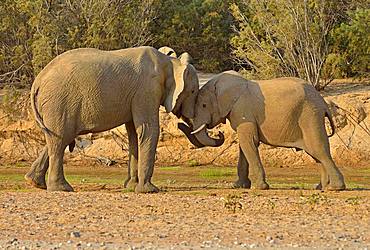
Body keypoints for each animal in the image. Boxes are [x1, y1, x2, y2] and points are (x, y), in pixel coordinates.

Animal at [25, 46, 199, 192]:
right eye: (192, 91)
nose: (182, 122)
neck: (168, 61)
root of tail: (37, 81)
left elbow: (134, 134)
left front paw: (131, 187)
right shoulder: (147, 89)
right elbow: (147, 130)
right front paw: (149, 190)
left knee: (58, 138)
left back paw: (35, 183)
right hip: (59, 102)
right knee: (60, 140)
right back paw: (62, 189)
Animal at [178, 71, 346, 190]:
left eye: (204, 105)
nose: (220, 133)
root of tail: (323, 103)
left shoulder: (243, 110)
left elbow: (248, 142)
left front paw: (259, 187)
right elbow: (244, 145)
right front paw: (238, 186)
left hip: (309, 117)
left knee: (319, 150)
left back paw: (335, 188)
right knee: (316, 154)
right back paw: (320, 187)